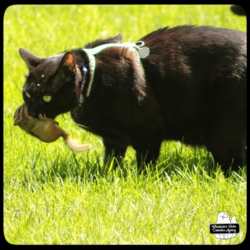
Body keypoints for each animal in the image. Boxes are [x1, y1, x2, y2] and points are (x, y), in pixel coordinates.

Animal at [19, 26, 246, 173]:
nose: (32, 112)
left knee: (234, 166)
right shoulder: (113, 139)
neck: (93, 77)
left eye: (47, 96)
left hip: (220, 134)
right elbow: (111, 162)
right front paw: (108, 177)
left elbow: (145, 164)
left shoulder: (148, 132)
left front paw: (142, 180)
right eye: (28, 94)